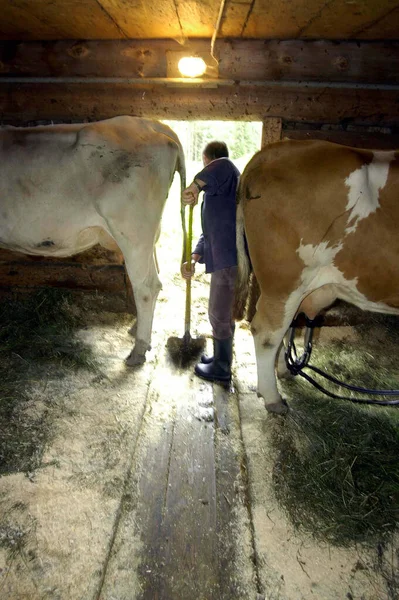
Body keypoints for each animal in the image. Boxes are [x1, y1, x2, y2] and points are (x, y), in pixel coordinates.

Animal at [0, 115, 186, 364]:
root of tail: (149, 124)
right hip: (148, 236)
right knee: (153, 278)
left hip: (133, 232)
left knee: (146, 287)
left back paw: (139, 349)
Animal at [236, 140, 399, 412]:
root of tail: (275, 150)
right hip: (285, 282)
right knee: (267, 332)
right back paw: (273, 398)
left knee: (283, 326)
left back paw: (283, 370)